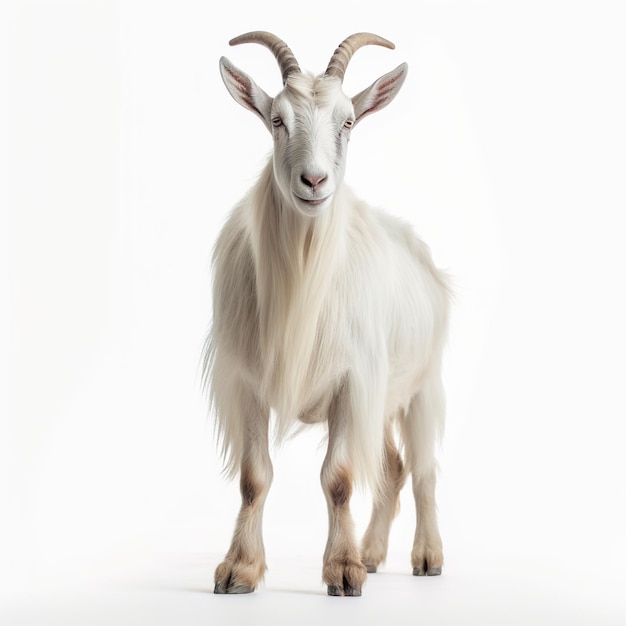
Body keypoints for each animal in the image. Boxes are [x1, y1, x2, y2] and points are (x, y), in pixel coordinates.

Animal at [202, 30, 446, 596]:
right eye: (277, 119)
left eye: (349, 121)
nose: (313, 182)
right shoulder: (247, 381)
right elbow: (254, 477)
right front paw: (239, 569)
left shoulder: (351, 383)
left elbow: (338, 478)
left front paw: (342, 570)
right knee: (394, 467)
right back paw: (374, 552)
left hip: (423, 384)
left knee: (423, 469)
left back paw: (426, 556)